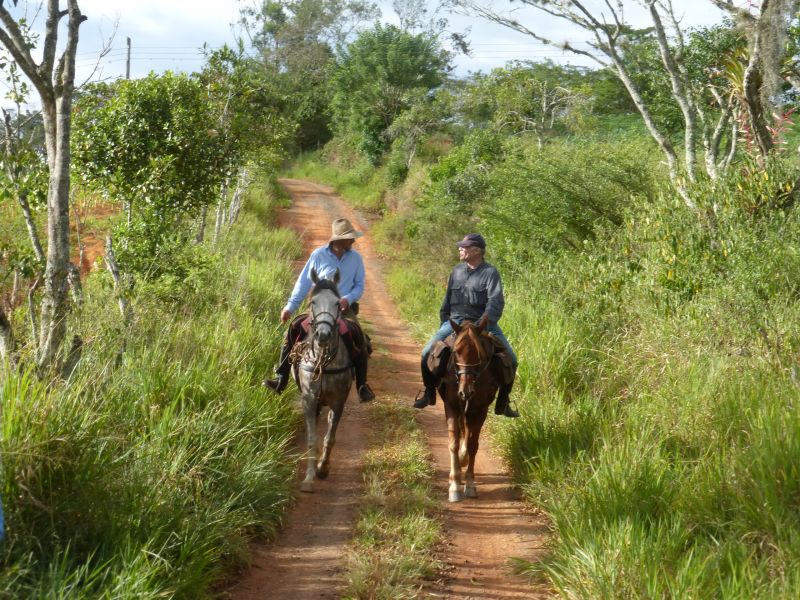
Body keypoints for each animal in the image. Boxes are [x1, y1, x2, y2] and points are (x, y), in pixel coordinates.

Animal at [294, 268, 354, 492]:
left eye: (337, 303)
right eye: (313, 301)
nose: (323, 335)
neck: (323, 362)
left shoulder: (338, 402)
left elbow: (330, 438)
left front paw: (323, 469)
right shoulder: (309, 400)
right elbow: (312, 438)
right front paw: (308, 479)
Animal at [440, 314, 496, 502]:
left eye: (478, 353)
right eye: (457, 351)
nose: (465, 391)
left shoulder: (480, 410)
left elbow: (472, 445)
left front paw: (470, 484)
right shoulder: (451, 406)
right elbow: (453, 444)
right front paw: (455, 485)